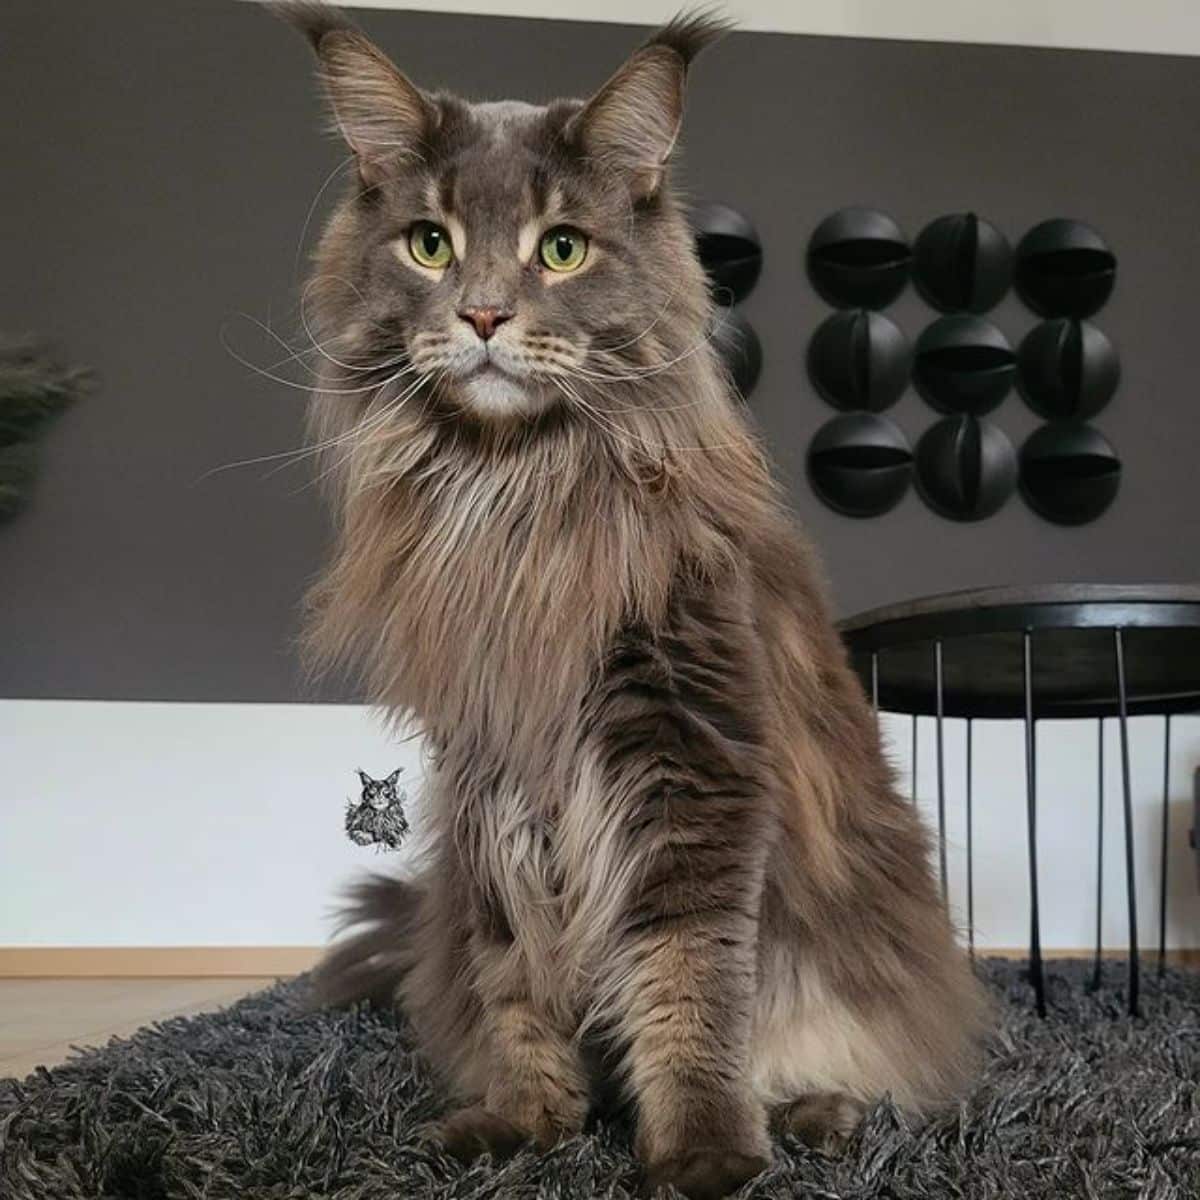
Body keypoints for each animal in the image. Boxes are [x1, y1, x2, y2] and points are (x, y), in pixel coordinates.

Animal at [278, 4, 984, 1195]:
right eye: (431, 243)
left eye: (561, 249)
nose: (482, 314)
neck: (519, 499)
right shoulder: (492, 775)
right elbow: (515, 977)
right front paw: (527, 1122)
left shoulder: (691, 754)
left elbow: (689, 981)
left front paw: (703, 1153)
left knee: (867, 1051)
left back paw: (817, 1117)